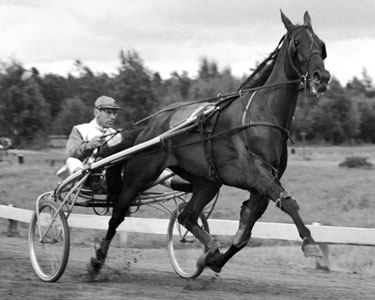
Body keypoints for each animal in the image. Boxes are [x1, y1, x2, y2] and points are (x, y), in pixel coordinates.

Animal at [89, 11, 330, 274]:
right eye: (297, 42)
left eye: (321, 43)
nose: (322, 77)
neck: (263, 113)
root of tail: (150, 126)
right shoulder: (259, 174)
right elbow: (289, 203)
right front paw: (310, 243)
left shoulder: (261, 185)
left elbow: (244, 232)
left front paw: (213, 260)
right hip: (141, 174)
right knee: (118, 214)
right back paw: (97, 261)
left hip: (207, 181)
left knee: (187, 216)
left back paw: (211, 246)